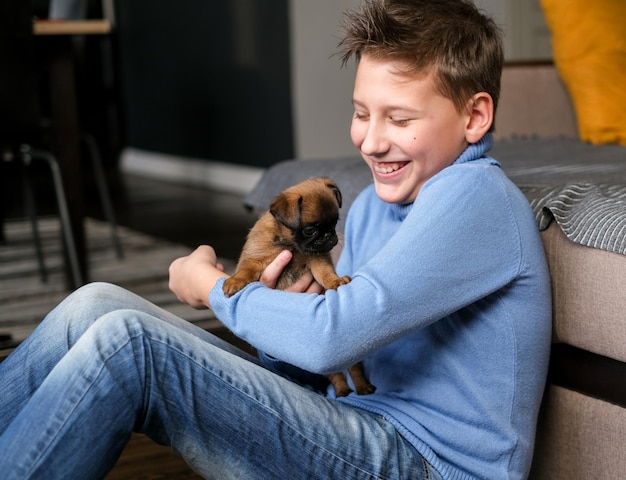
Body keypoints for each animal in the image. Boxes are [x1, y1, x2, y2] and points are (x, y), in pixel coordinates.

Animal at [222, 177, 372, 398]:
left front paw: (335, 281)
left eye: (334, 224)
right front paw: (234, 281)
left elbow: (325, 273)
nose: (330, 237)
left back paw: (362, 387)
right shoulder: (254, 259)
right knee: (336, 374)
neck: (289, 245)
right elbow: (245, 271)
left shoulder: (318, 259)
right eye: (311, 230)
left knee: (354, 368)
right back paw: (343, 390)